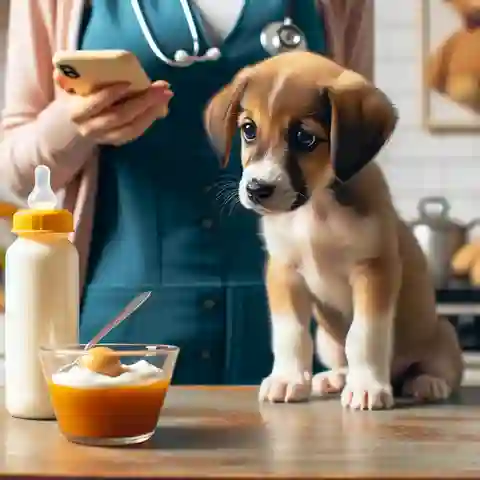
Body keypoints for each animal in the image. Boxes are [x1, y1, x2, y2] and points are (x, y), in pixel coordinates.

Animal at [204, 53, 464, 412]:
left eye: (305, 138)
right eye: (248, 129)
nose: (257, 189)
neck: (315, 209)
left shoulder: (374, 270)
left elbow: (364, 335)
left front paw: (367, 385)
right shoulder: (284, 272)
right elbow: (291, 333)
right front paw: (288, 378)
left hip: (443, 332)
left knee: (437, 370)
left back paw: (426, 382)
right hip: (326, 340)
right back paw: (336, 377)